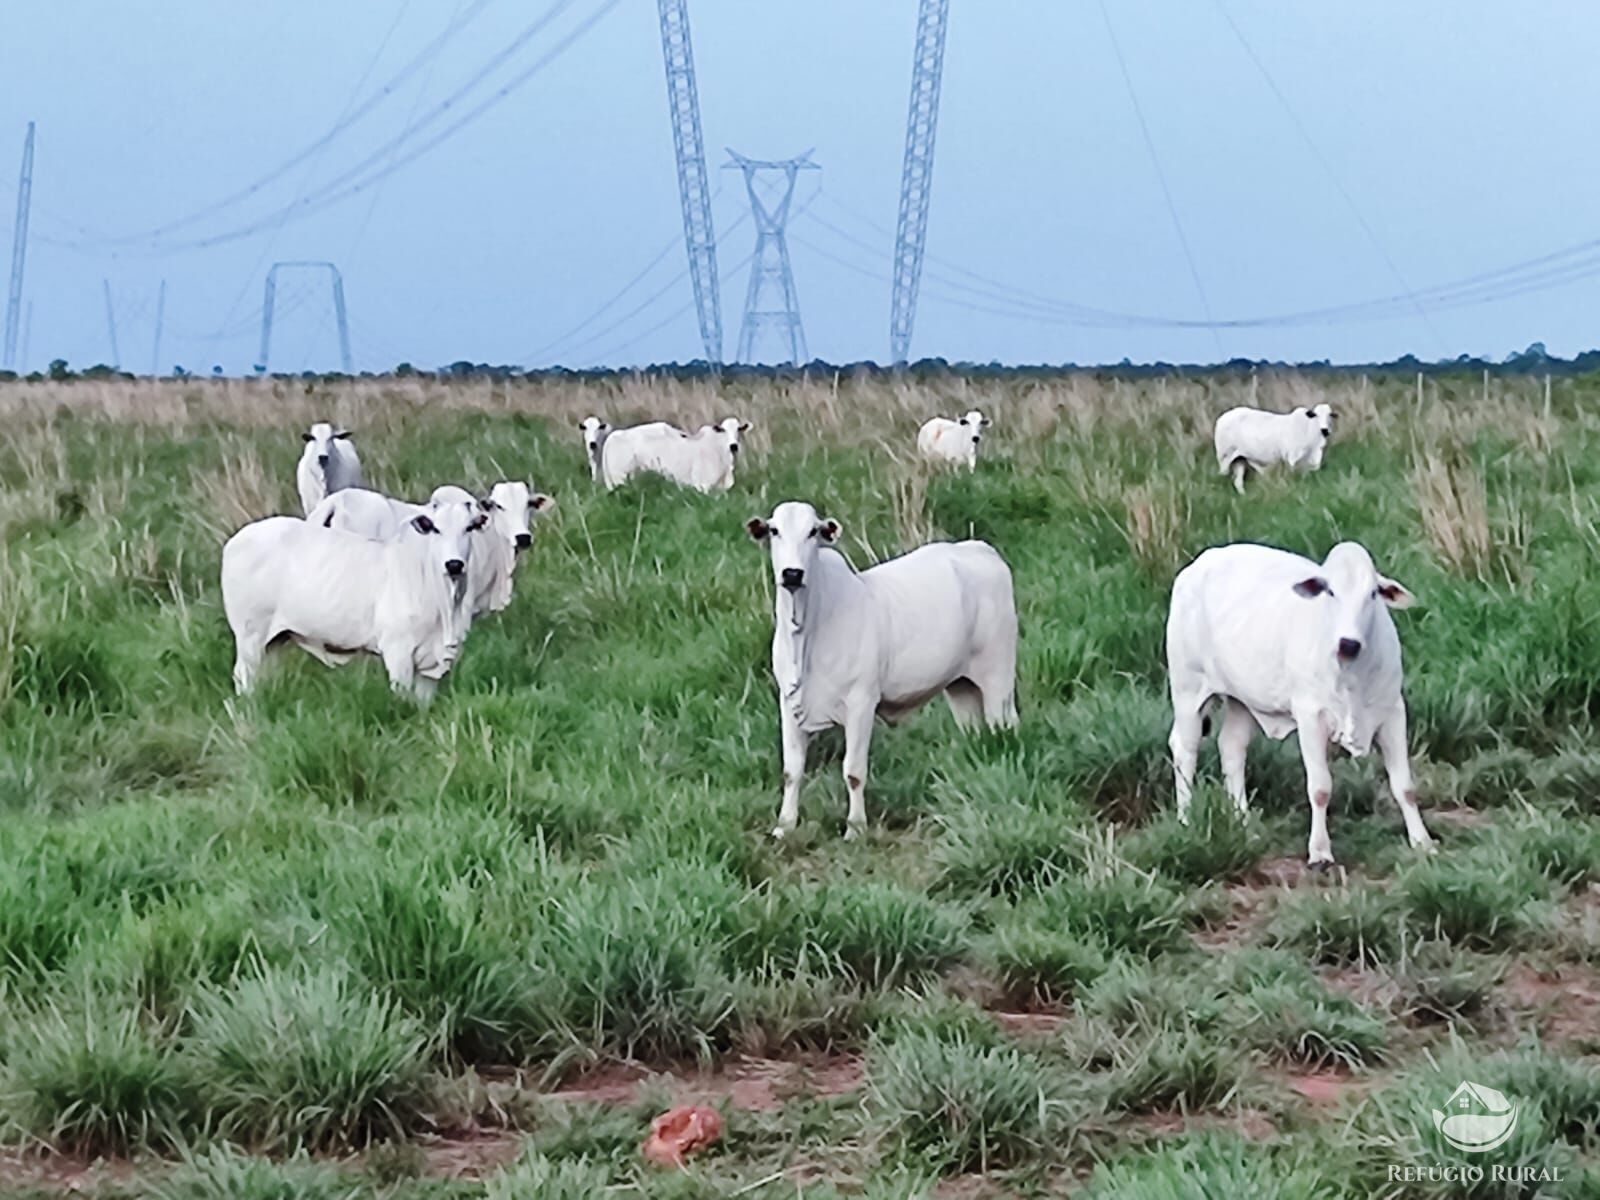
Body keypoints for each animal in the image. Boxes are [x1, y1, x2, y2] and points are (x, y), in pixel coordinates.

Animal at [220, 489, 486, 704]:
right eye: (435, 529)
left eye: (469, 528)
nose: (454, 564)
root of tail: (237, 539)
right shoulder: (398, 651)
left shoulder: (433, 664)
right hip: (250, 635)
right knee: (244, 676)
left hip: (273, 640)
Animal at [601, 419, 752, 492]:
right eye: (723, 430)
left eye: (739, 429)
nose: (733, 446)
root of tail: (612, 437)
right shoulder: (702, 486)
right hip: (621, 478)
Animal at [745, 502, 1017, 838]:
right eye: (774, 530)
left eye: (813, 532)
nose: (792, 574)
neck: (808, 628)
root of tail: (982, 550)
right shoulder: (789, 702)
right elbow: (792, 771)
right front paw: (784, 826)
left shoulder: (861, 702)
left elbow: (854, 771)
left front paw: (855, 828)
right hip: (961, 685)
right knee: (975, 731)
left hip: (998, 676)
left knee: (1003, 726)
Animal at [1164, 540, 1440, 870]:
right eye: (1329, 591)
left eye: (1372, 594)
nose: (1348, 643)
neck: (1350, 675)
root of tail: (1202, 561)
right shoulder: (1311, 717)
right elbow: (1320, 788)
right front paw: (1320, 852)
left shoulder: (1393, 712)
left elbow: (1405, 787)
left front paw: (1422, 842)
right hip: (1187, 687)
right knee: (1185, 748)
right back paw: (1185, 820)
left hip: (1242, 699)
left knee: (1231, 747)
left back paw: (1244, 822)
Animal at [1209, 404, 1337, 492]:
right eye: (1316, 415)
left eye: (1330, 415)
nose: (1325, 430)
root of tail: (1221, 418)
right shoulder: (1291, 458)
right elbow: (1292, 478)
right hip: (1224, 458)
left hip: (1239, 459)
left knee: (1238, 482)